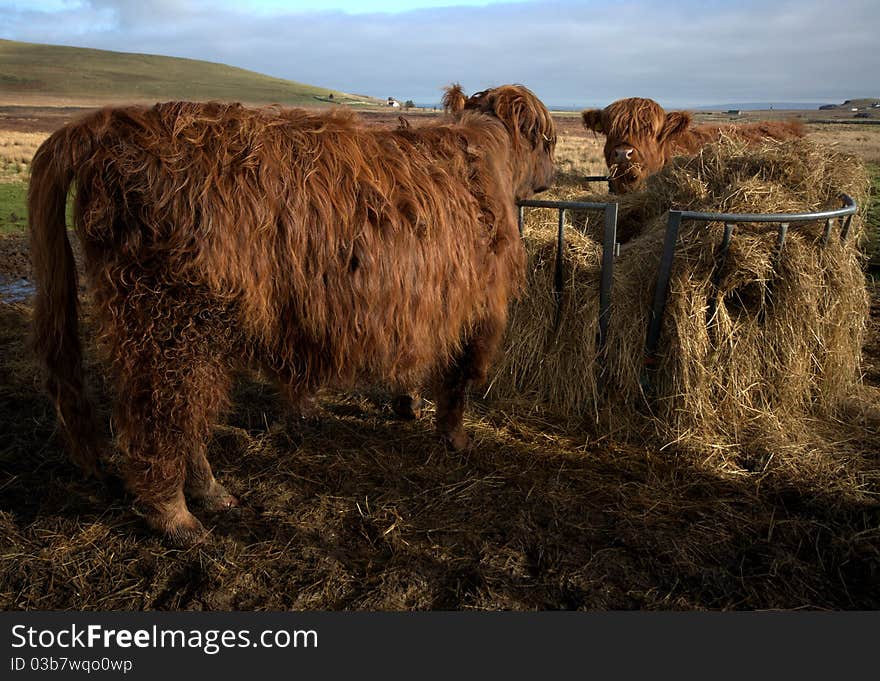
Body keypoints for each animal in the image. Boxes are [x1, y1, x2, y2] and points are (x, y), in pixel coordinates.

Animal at [29, 85, 556, 544]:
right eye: (548, 141)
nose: (551, 175)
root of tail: (115, 122)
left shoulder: (425, 306)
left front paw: (408, 404)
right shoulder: (479, 311)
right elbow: (458, 381)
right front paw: (455, 437)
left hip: (184, 332)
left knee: (186, 414)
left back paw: (211, 493)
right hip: (170, 321)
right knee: (161, 417)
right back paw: (176, 517)